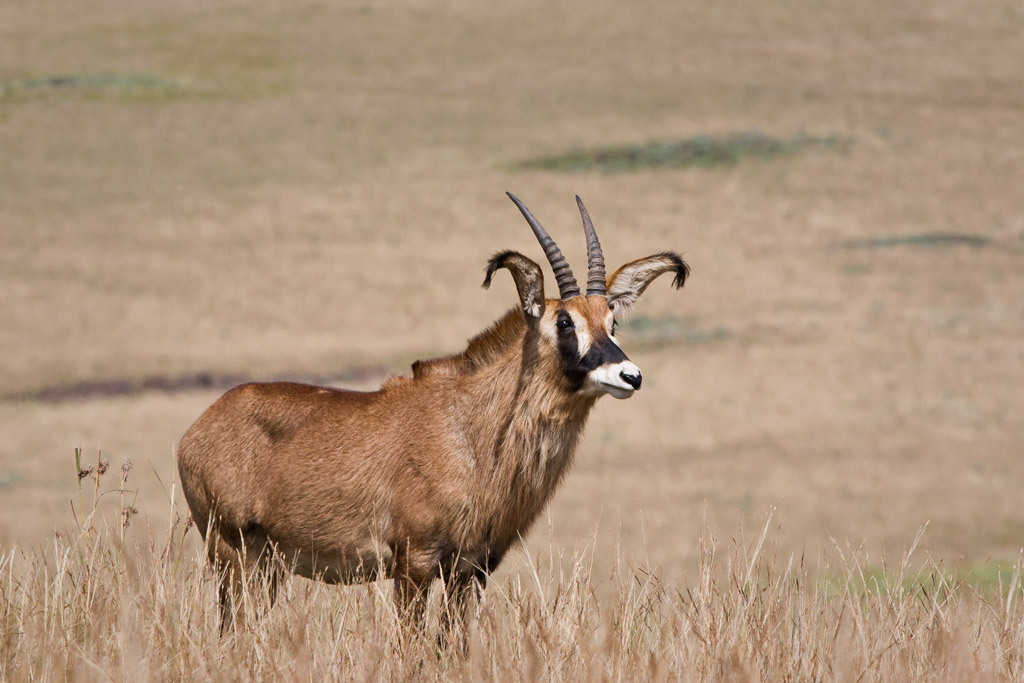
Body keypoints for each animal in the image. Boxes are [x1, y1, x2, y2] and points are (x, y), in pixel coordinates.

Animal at [176, 191, 692, 634]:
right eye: (564, 321)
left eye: (612, 320)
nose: (629, 375)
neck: (472, 431)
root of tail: (197, 431)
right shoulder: (414, 563)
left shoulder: (472, 571)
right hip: (231, 553)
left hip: (267, 566)